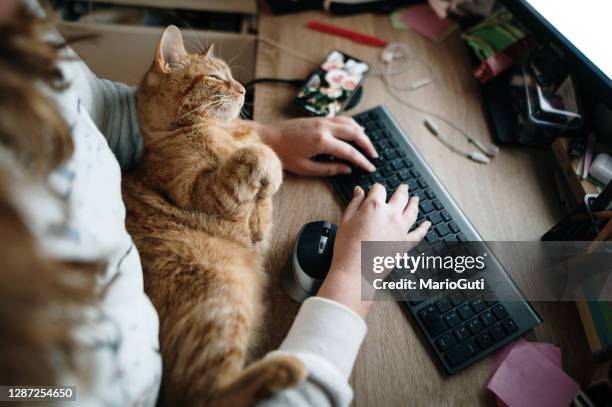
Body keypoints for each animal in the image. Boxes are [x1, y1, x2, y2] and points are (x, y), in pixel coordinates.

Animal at [122, 27, 308, 406]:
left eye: (232, 74)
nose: (243, 90)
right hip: (222, 296)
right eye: (214, 77)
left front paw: (263, 210)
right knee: (206, 394)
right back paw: (285, 367)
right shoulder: (205, 193)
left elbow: (265, 185)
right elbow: (258, 154)